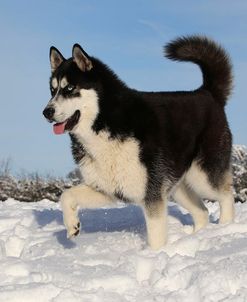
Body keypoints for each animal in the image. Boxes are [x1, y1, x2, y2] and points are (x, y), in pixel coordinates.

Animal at [43, 35, 234, 249]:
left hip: (203, 176)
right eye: (52, 90)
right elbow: (66, 195)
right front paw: (72, 226)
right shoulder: (105, 188)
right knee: (202, 212)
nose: (46, 112)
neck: (106, 122)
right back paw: (195, 238)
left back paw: (226, 226)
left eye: (69, 88)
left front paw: (154, 254)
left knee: (227, 195)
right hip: (178, 186)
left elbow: (156, 237)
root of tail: (207, 93)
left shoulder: (152, 194)